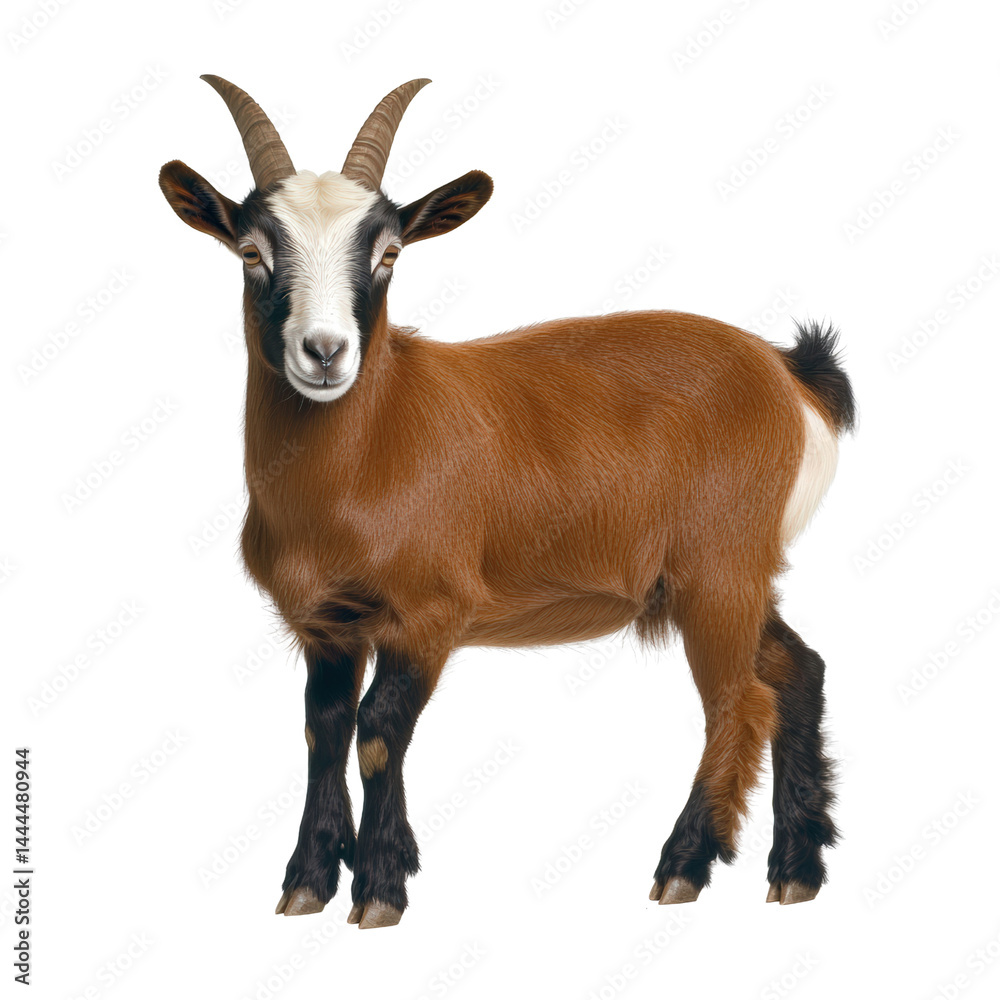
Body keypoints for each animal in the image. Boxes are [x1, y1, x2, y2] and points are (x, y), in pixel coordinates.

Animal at [159, 76, 855, 928]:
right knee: (798, 671)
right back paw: (797, 868)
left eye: (388, 253)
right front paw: (309, 880)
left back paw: (683, 865)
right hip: (732, 574)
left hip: (720, 568)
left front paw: (380, 886)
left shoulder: (429, 611)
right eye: (253, 252)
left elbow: (378, 733)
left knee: (739, 700)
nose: (325, 353)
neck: (374, 444)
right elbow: (324, 731)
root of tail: (790, 373)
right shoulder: (325, 621)